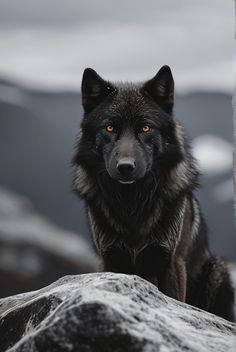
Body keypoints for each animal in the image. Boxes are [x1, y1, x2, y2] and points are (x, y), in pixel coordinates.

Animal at [73, 66, 235, 322]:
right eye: (109, 127)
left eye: (145, 127)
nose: (125, 167)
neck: (132, 202)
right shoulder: (110, 261)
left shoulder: (171, 263)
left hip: (217, 269)